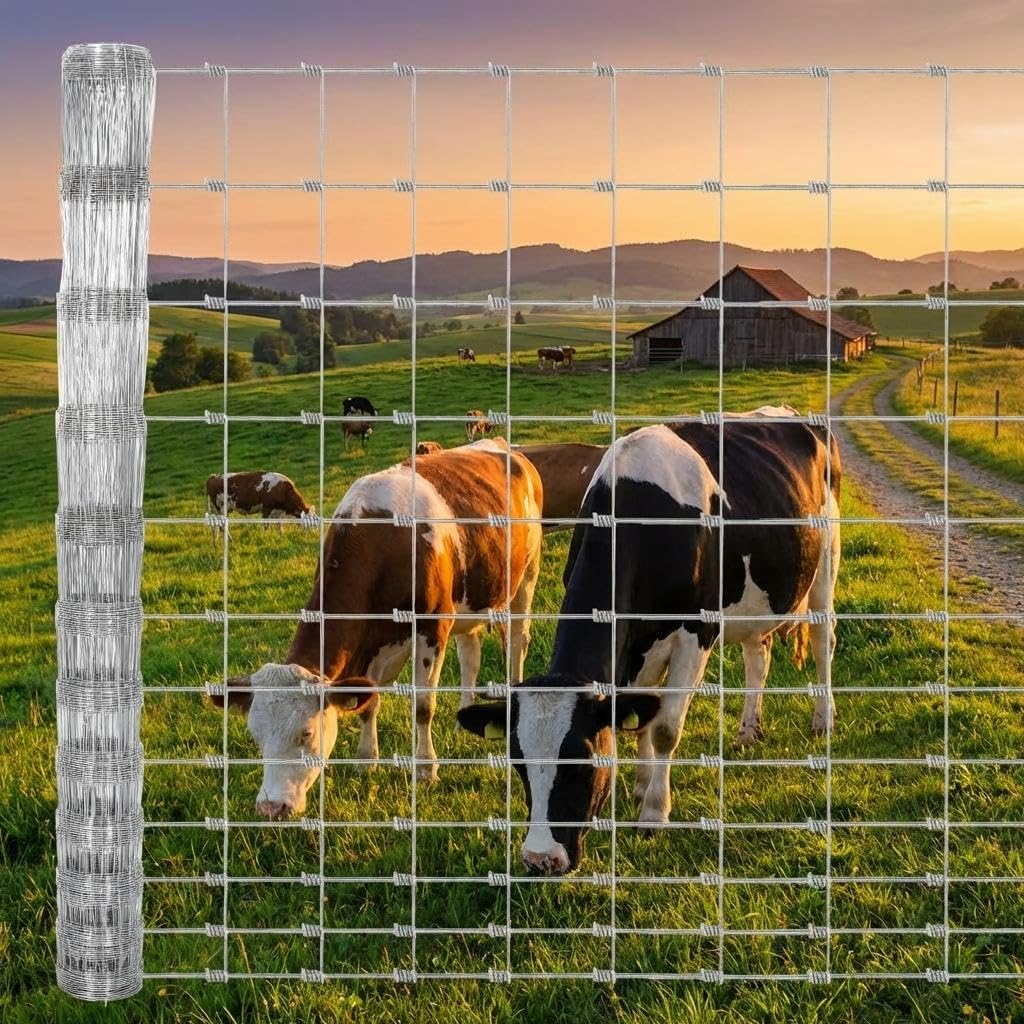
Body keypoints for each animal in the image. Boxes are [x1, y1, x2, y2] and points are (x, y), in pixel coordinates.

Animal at [209, 438, 544, 817]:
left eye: (306, 733)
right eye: (256, 736)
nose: (270, 808)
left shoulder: (432, 628)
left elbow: (423, 706)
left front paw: (425, 768)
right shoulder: (370, 645)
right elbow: (367, 704)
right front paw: (365, 760)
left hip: (526, 575)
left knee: (517, 641)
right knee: (470, 655)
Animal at [458, 416, 842, 875]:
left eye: (582, 762)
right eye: (519, 763)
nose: (540, 860)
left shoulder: (696, 632)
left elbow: (664, 728)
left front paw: (654, 813)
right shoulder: (636, 642)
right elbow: (639, 714)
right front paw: (641, 788)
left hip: (826, 563)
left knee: (823, 641)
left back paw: (823, 719)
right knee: (758, 654)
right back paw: (749, 730)